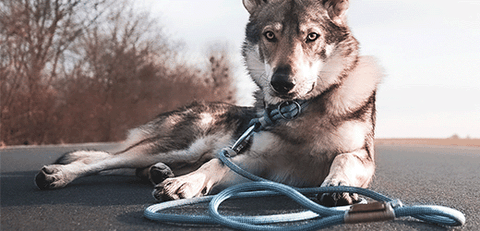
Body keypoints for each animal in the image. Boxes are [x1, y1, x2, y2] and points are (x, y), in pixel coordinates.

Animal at [34, 0, 382, 206]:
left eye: (312, 37)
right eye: (270, 35)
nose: (282, 83)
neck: (300, 110)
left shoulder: (363, 158)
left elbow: (344, 159)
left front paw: (337, 182)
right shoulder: (251, 162)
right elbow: (214, 165)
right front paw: (184, 184)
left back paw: (158, 173)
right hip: (180, 145)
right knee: (104, 160)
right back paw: (59, 174)